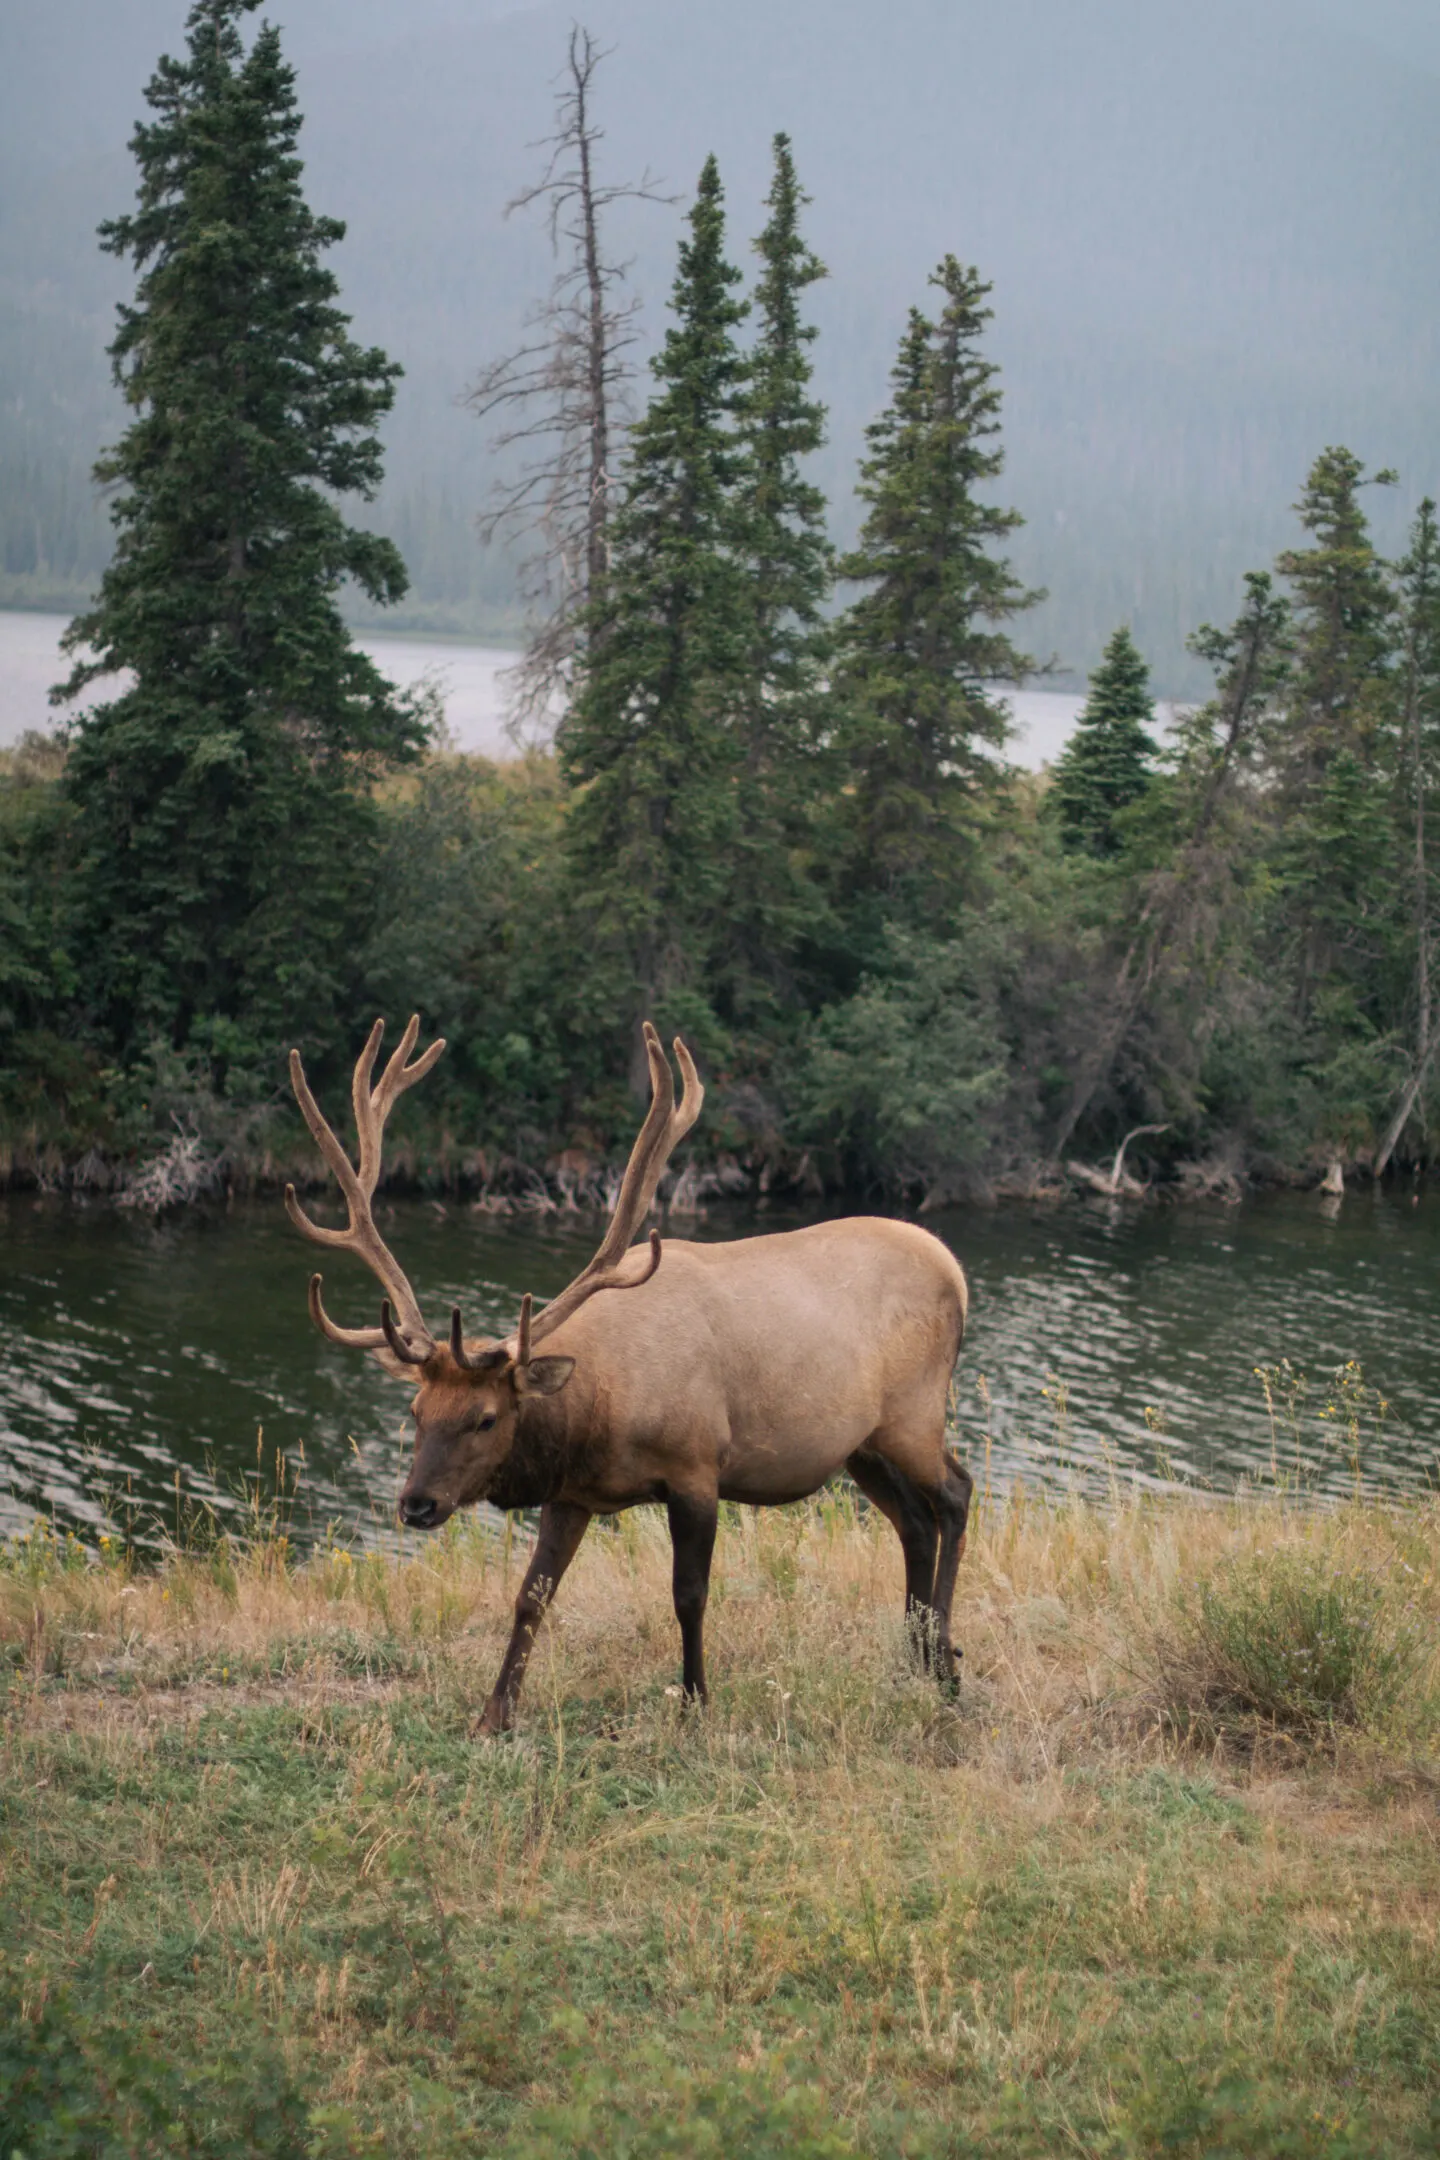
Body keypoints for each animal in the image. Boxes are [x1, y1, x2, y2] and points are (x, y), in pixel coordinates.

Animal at [284, 1015, 975, 1736]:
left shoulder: (697, 1468)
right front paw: (494, 1715)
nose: (416, 1504)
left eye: (486, 1418)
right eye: (416, 1413)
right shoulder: (573, 1493)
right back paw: (915, 1655)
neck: (599, 1413)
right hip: (860, 1443)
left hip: (914, 1413)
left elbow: (689, 1596)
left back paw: (946, 1662)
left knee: (955, 1494)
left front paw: (697, 1700)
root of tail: (954, 1269)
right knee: (914, 1522)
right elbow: (531, 1596)